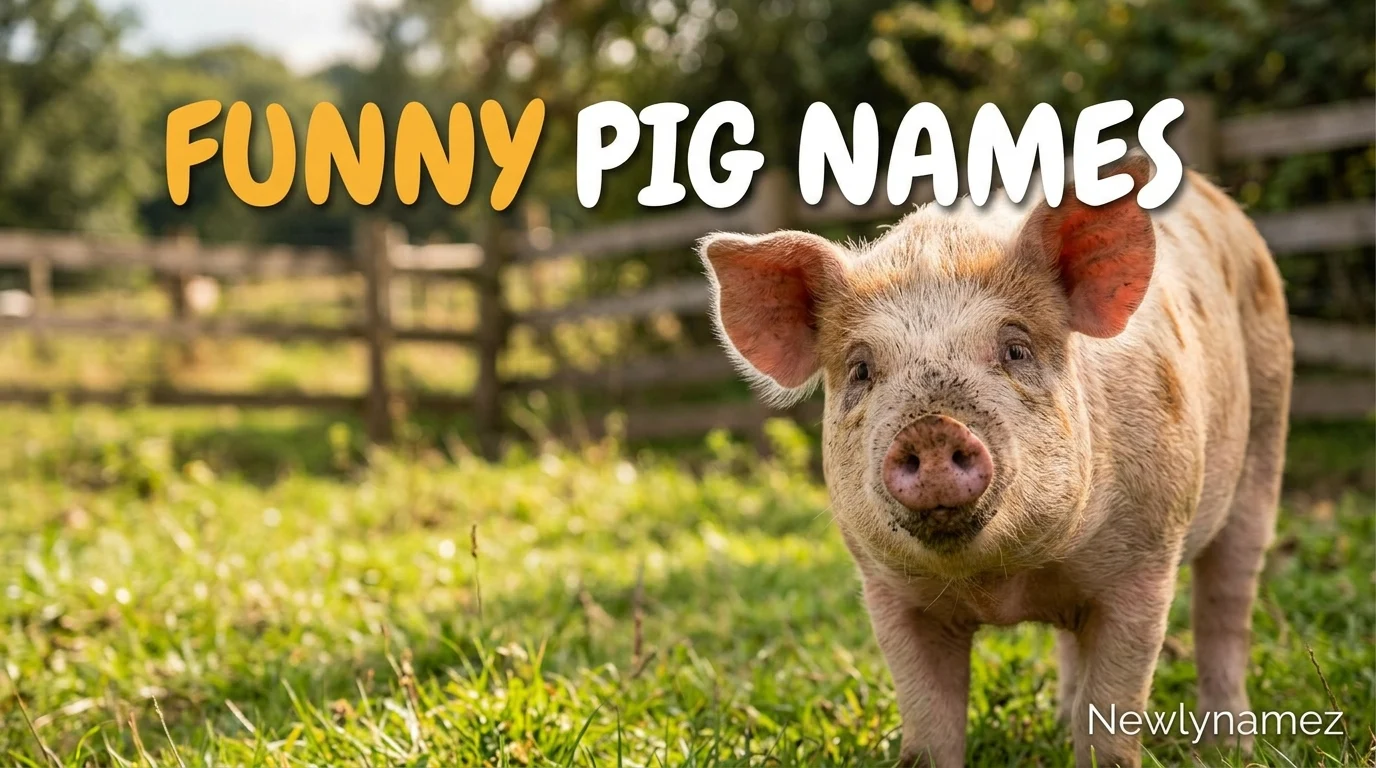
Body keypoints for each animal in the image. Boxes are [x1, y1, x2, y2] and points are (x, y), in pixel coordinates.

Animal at [698, 154, 1292, 768]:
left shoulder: (1145, 561)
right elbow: (930, 727)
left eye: (1016, 349)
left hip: (1267, 427)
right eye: (861, 369)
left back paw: (1230, 746)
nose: (931, 427)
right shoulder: (889, 591)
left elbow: (1112, 713)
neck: (1005, 583)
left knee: (1226, 601)